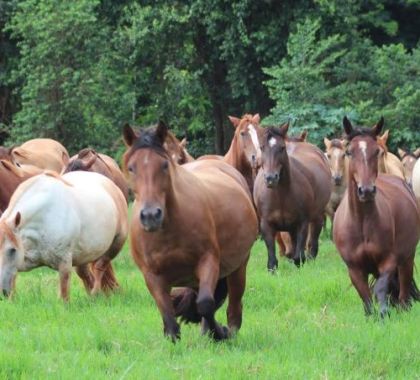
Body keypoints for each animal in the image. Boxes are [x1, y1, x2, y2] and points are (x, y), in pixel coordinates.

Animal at [0, 170, 128, 300]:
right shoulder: (23, 261)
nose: (2, 292)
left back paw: (95, 295)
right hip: (83, 255)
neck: (46, 216)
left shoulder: (64, 263)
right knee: (85, 274)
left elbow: (64, 296)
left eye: (12, 250)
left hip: (116, 244)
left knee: (99, 268)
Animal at [122, 121, 260, 342]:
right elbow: (169, 317)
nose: (151, 215)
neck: (168, 231)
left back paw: (227, 331)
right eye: (131, 168)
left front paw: (219, 332)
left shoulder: (208, 261)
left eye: (164, 165)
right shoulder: (152, 276)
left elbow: (205, 303)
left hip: (238, 266)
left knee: (233, 307)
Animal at [253, 123, 332, 268]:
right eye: (262, 147)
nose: (271, 178)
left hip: (316, 216)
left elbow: (298, 256)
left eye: (282, 148)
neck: (280, 195)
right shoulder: (266, 224)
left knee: (313, 238)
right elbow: (272, 260)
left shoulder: (302, 222)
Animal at [334, 116, 418, 318]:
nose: (366, 191)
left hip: (407, 257)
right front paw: (373, 315)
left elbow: (380, 288)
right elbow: (366, 298)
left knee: (404, 290)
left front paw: (384, 313)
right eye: (349, 152)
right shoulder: (354, 269)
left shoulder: (388, 261)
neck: (361, 222)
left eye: (377, 152)